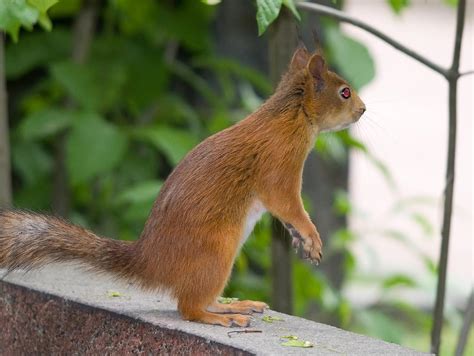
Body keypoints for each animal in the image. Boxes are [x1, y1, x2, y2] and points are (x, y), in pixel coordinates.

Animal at [0, 46, 366, 326]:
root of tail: (151, 261)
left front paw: (300, 240)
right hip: (216, 254)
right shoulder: (279, 164)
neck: (293, 114)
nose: (363, 109)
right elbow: (288, 203)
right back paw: (218, 317)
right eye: (344, 92)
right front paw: (311, 234)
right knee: (188, 308)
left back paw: (232, 305)